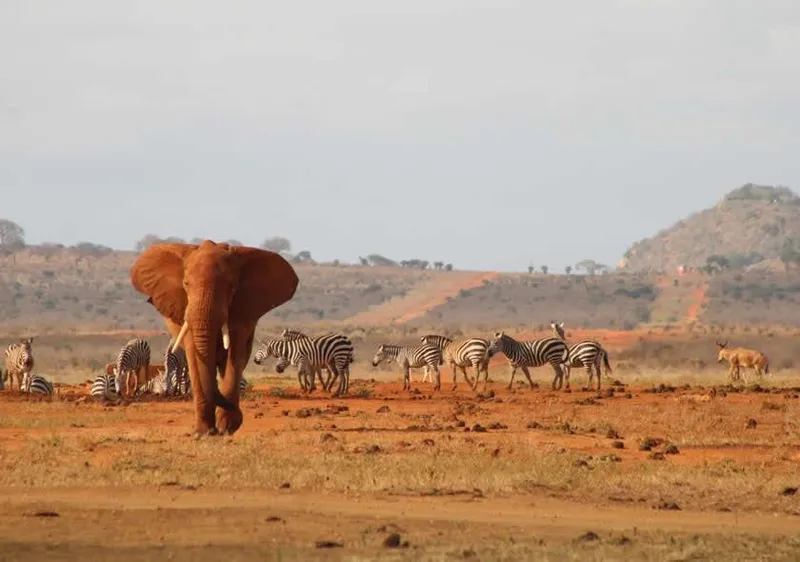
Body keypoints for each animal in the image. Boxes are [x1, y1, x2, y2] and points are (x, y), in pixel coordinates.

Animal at [130, 240, 298, 437]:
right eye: (186, 284)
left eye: (232, 287)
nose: (238, 413)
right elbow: (194, 358)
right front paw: (204, 433)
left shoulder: (240, 310)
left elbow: (234, 356)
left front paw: (227, 427)